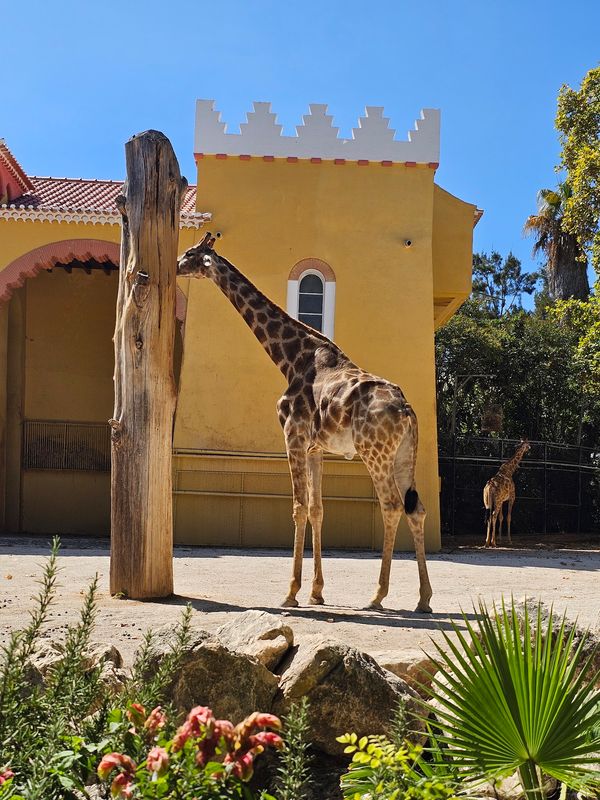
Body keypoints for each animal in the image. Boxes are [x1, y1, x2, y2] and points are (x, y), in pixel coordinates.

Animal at [176, 233, 434, 612]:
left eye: (191, 253)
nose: (176, 266)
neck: (291, 358)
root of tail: (407, 410)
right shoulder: (315, 448)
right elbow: (317, 509)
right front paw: (316, 591)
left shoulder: (292, 436)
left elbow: (298, 508)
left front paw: (291, 592)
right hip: (403, 456)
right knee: (417, 509)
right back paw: (424, 599)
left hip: (375, 453)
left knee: (391, 506)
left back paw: (377, 596)